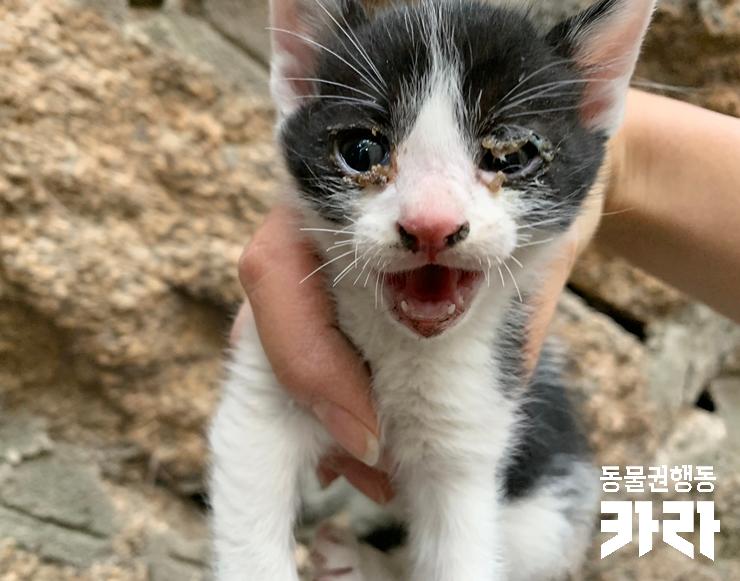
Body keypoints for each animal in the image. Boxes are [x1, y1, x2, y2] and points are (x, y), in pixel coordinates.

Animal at [208, 1, 652, 580]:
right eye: (361, 150)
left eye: (512, 156)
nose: (431, 225)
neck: (401, 348)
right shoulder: (267, 376)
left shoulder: (474, 419)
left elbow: (460, 548)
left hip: (547, 518)